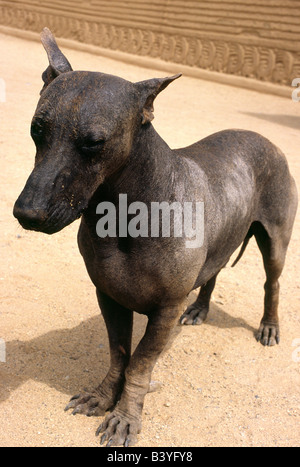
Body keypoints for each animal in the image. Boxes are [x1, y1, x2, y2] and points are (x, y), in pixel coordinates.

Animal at [13, 28, 298, 446]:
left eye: (94, 143)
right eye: (37, 129)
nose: (27, 213)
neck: (123, 217)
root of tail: (264, 138)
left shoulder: (165, 311)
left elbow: (139, 365)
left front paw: (125, 417)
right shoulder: (109, 296)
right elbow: (119, 356)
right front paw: (103, 397)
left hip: (275, 240)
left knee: (272, 282)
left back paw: (269, 325)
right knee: (213, 271)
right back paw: (200, 309)